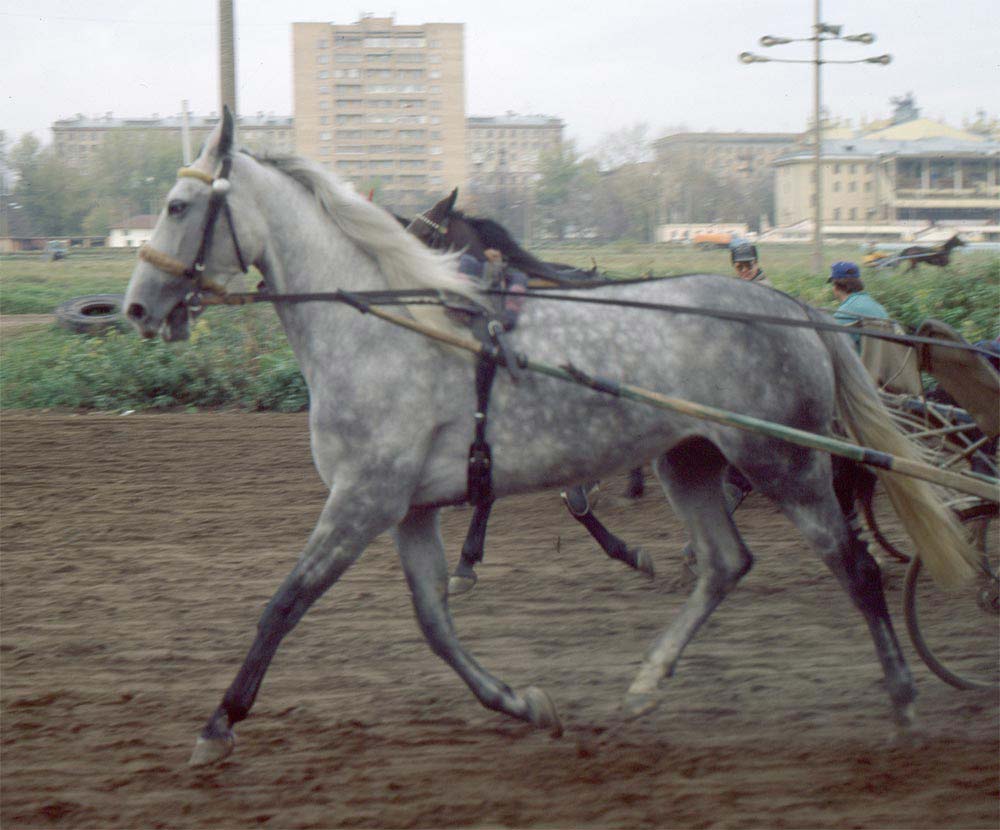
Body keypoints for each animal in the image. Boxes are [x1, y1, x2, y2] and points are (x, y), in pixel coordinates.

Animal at [124, 110, 979, 768]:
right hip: (690, 460)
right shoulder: (408, 507)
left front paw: (219, 724)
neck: (390, 327)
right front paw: (523, 701)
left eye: (176, 205)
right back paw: (645, 684)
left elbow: (284, 603)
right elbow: (434, 622)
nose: (135, 308)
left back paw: (904, 701)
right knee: (725, 563)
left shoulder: (363, 498)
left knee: (855, 568)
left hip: (785, 461)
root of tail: (790, 308)